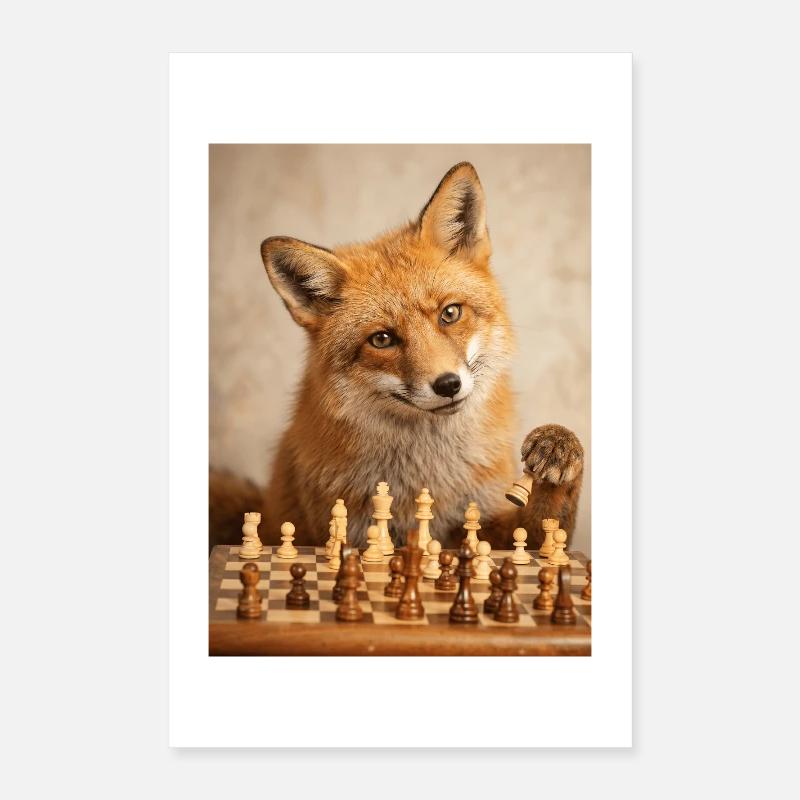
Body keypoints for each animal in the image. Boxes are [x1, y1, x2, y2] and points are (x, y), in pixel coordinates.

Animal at [210, 162, 584, 551]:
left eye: (450, 313)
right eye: (382, 339)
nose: (448, 385)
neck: (426, 476)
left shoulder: (486, 524)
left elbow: (546, 531)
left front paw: (557, 447)